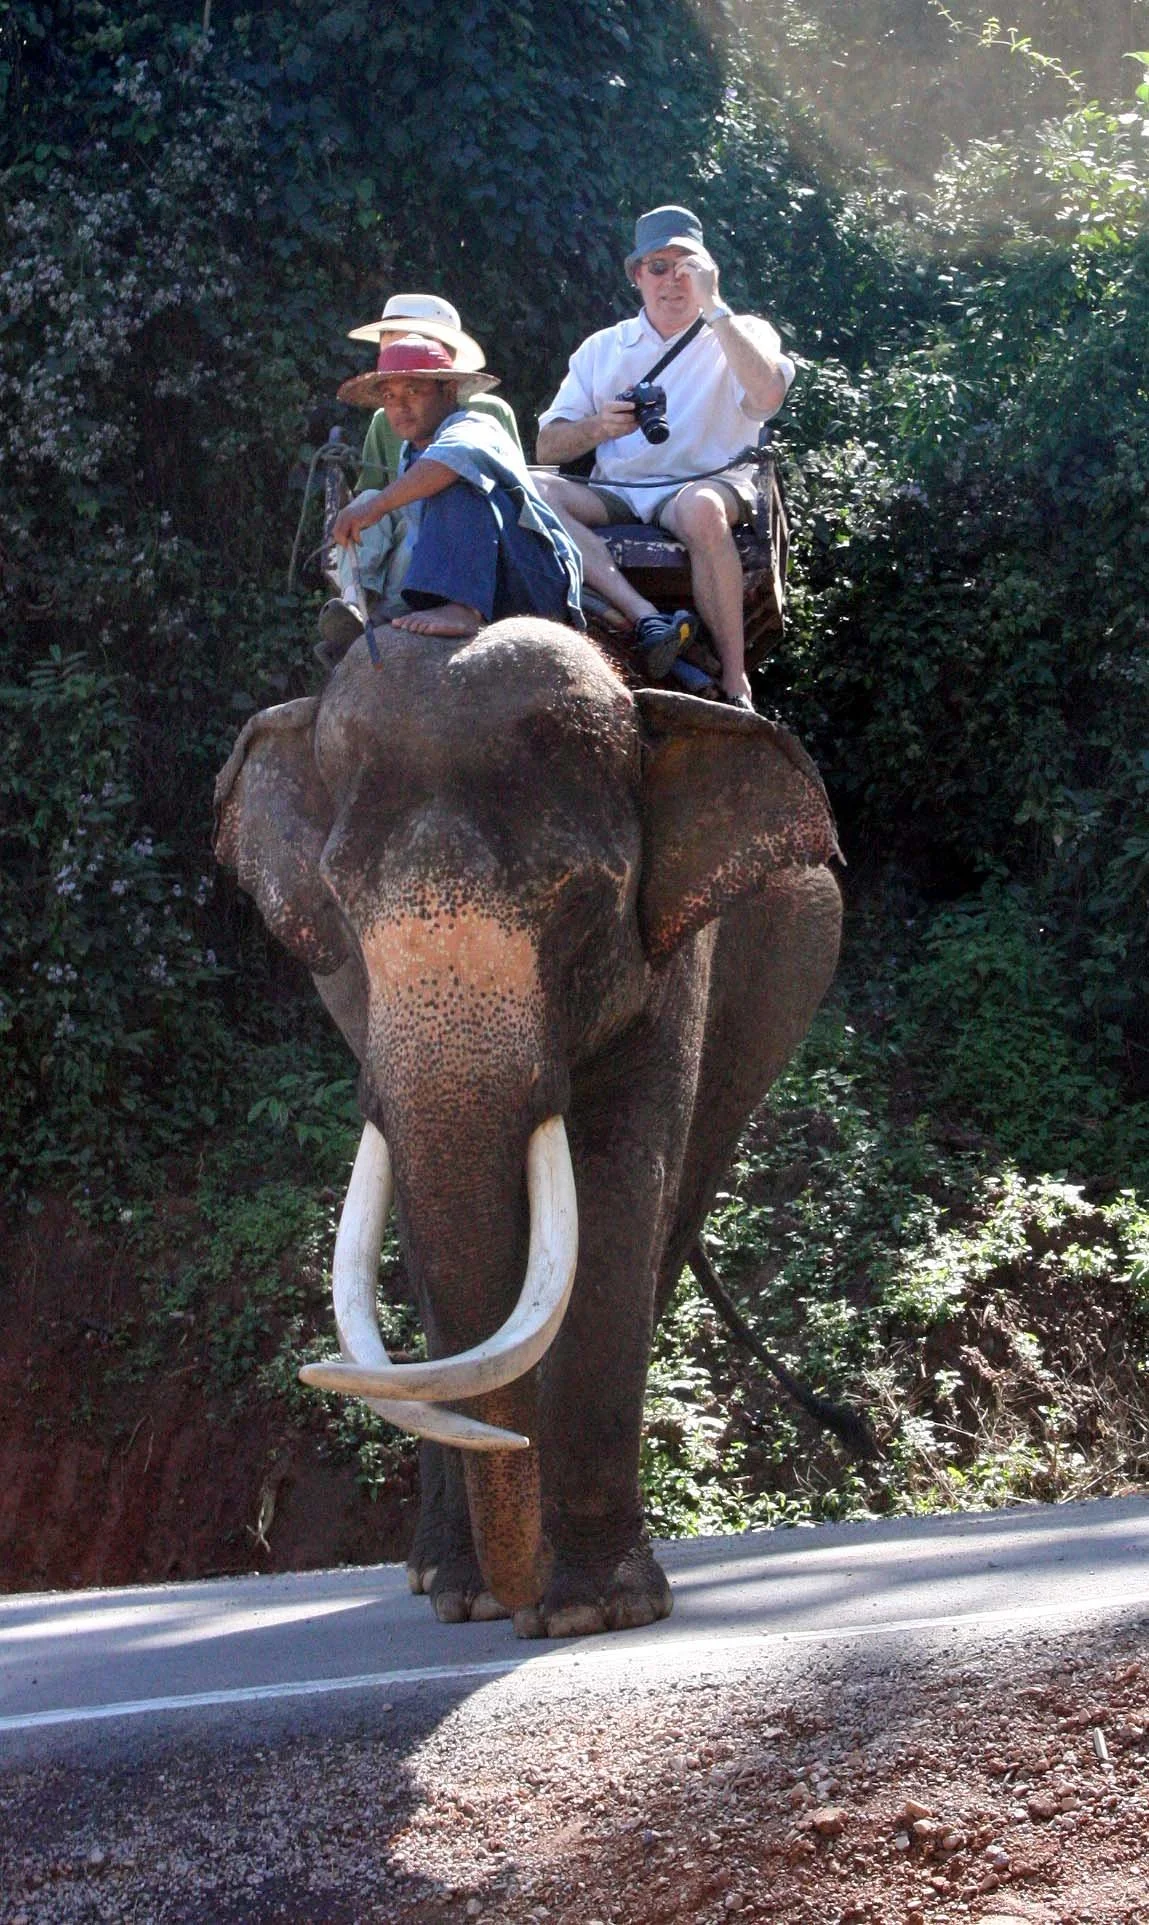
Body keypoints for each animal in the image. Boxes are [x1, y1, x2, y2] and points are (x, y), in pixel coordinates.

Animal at [213, 617, 841, 1638]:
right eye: (339, 900)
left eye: (582, 897)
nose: (508, 1604)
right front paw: (468, 1593)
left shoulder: (676, 960)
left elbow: (616, 1189)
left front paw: (590, 1610)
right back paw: (448, 1573)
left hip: (776, 998)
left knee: (673, 1212)